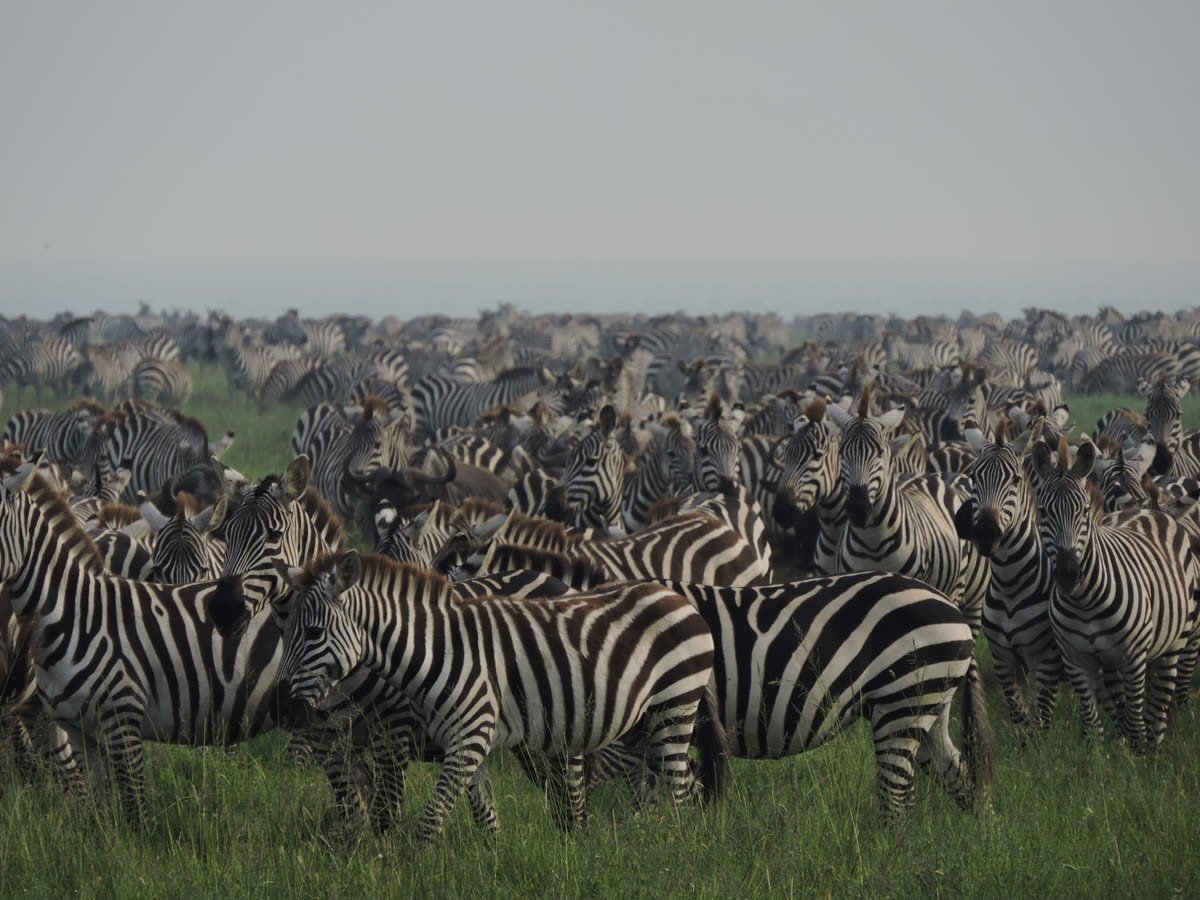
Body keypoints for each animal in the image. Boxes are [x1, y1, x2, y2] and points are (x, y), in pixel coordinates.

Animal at [268, 550, 724, 841]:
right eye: (282, 631)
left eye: (313, 633)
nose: (284, 709)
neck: (440, 651)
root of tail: (677, 596)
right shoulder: (469, 742)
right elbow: (484, 815)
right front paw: (494, 862)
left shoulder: (459, 737)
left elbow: (422, 819)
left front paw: (401, 870)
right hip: (638, 721)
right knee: (683, 780)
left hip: (673, 707)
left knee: (677, 787)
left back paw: (679, 852)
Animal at [1032, 437, 1200, 751]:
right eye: (1043, 512)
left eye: (1084, 511)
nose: (1068, 574)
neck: (1085, 602)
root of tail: (1150, 509)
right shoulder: (1076, 660)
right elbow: (1093, 727)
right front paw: (1102, 760)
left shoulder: (1133, 658)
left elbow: (1136, 721)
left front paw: (1136, 760)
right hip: (1111, 663)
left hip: (1173, 644)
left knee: (1157, 706)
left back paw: (1153, 748)